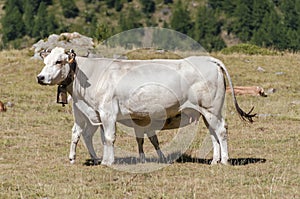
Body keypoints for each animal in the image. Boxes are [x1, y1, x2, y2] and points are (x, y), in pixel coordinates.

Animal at [36, 47, 254, 166]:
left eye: (59, 61)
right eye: (45, 60)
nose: (40, 77)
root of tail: (208, 59)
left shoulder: (108, 112)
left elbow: (109, 138)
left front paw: (108, 162)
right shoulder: (97, 113)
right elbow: (101, 137)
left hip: (212, 109)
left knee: (222, 130)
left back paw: (224, 160)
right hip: (207, 113)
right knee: (213, 133)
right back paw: (215, 160)